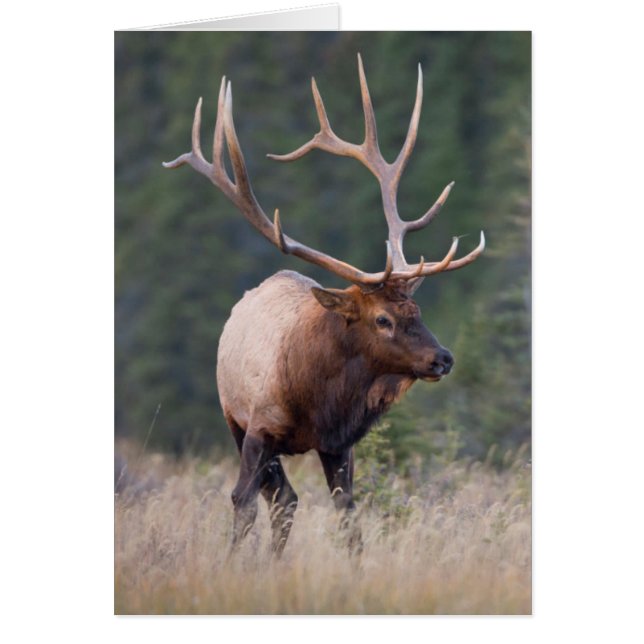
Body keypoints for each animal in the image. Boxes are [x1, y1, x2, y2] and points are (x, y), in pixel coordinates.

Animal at [163, 55, 484, 556]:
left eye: (418, 313)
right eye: (383, 318)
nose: (443, 358)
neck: (317, 398)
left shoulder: (339, 444)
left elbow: (348, 518)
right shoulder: (257, 427)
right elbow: (241, 503)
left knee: (287, 500)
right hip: (233, 418)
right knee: (278, 498)